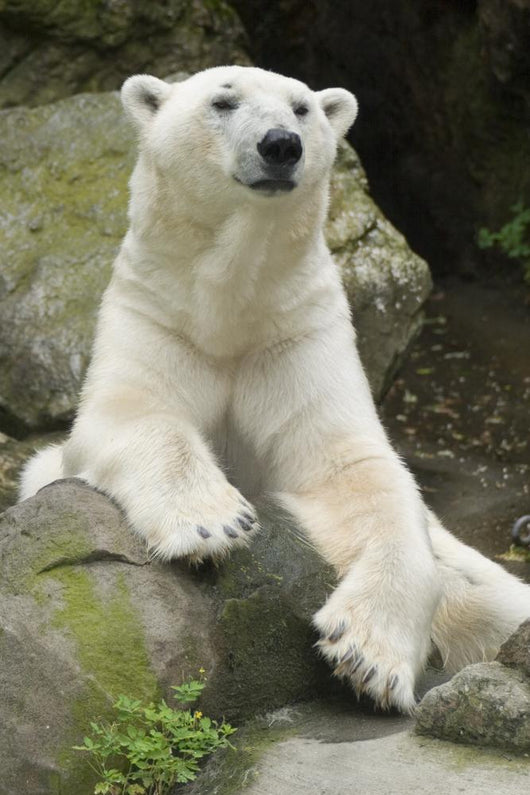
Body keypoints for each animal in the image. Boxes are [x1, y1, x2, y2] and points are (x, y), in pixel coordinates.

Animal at [20, 65, 530, 714]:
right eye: (223, 101)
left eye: (302, 107)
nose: (281, 144)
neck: (233, 303)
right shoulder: (158, 313)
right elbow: (130, 412)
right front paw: (213, 523)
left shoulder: (296, 329)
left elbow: (355, 470)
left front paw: (367, 656)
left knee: (493, 598)